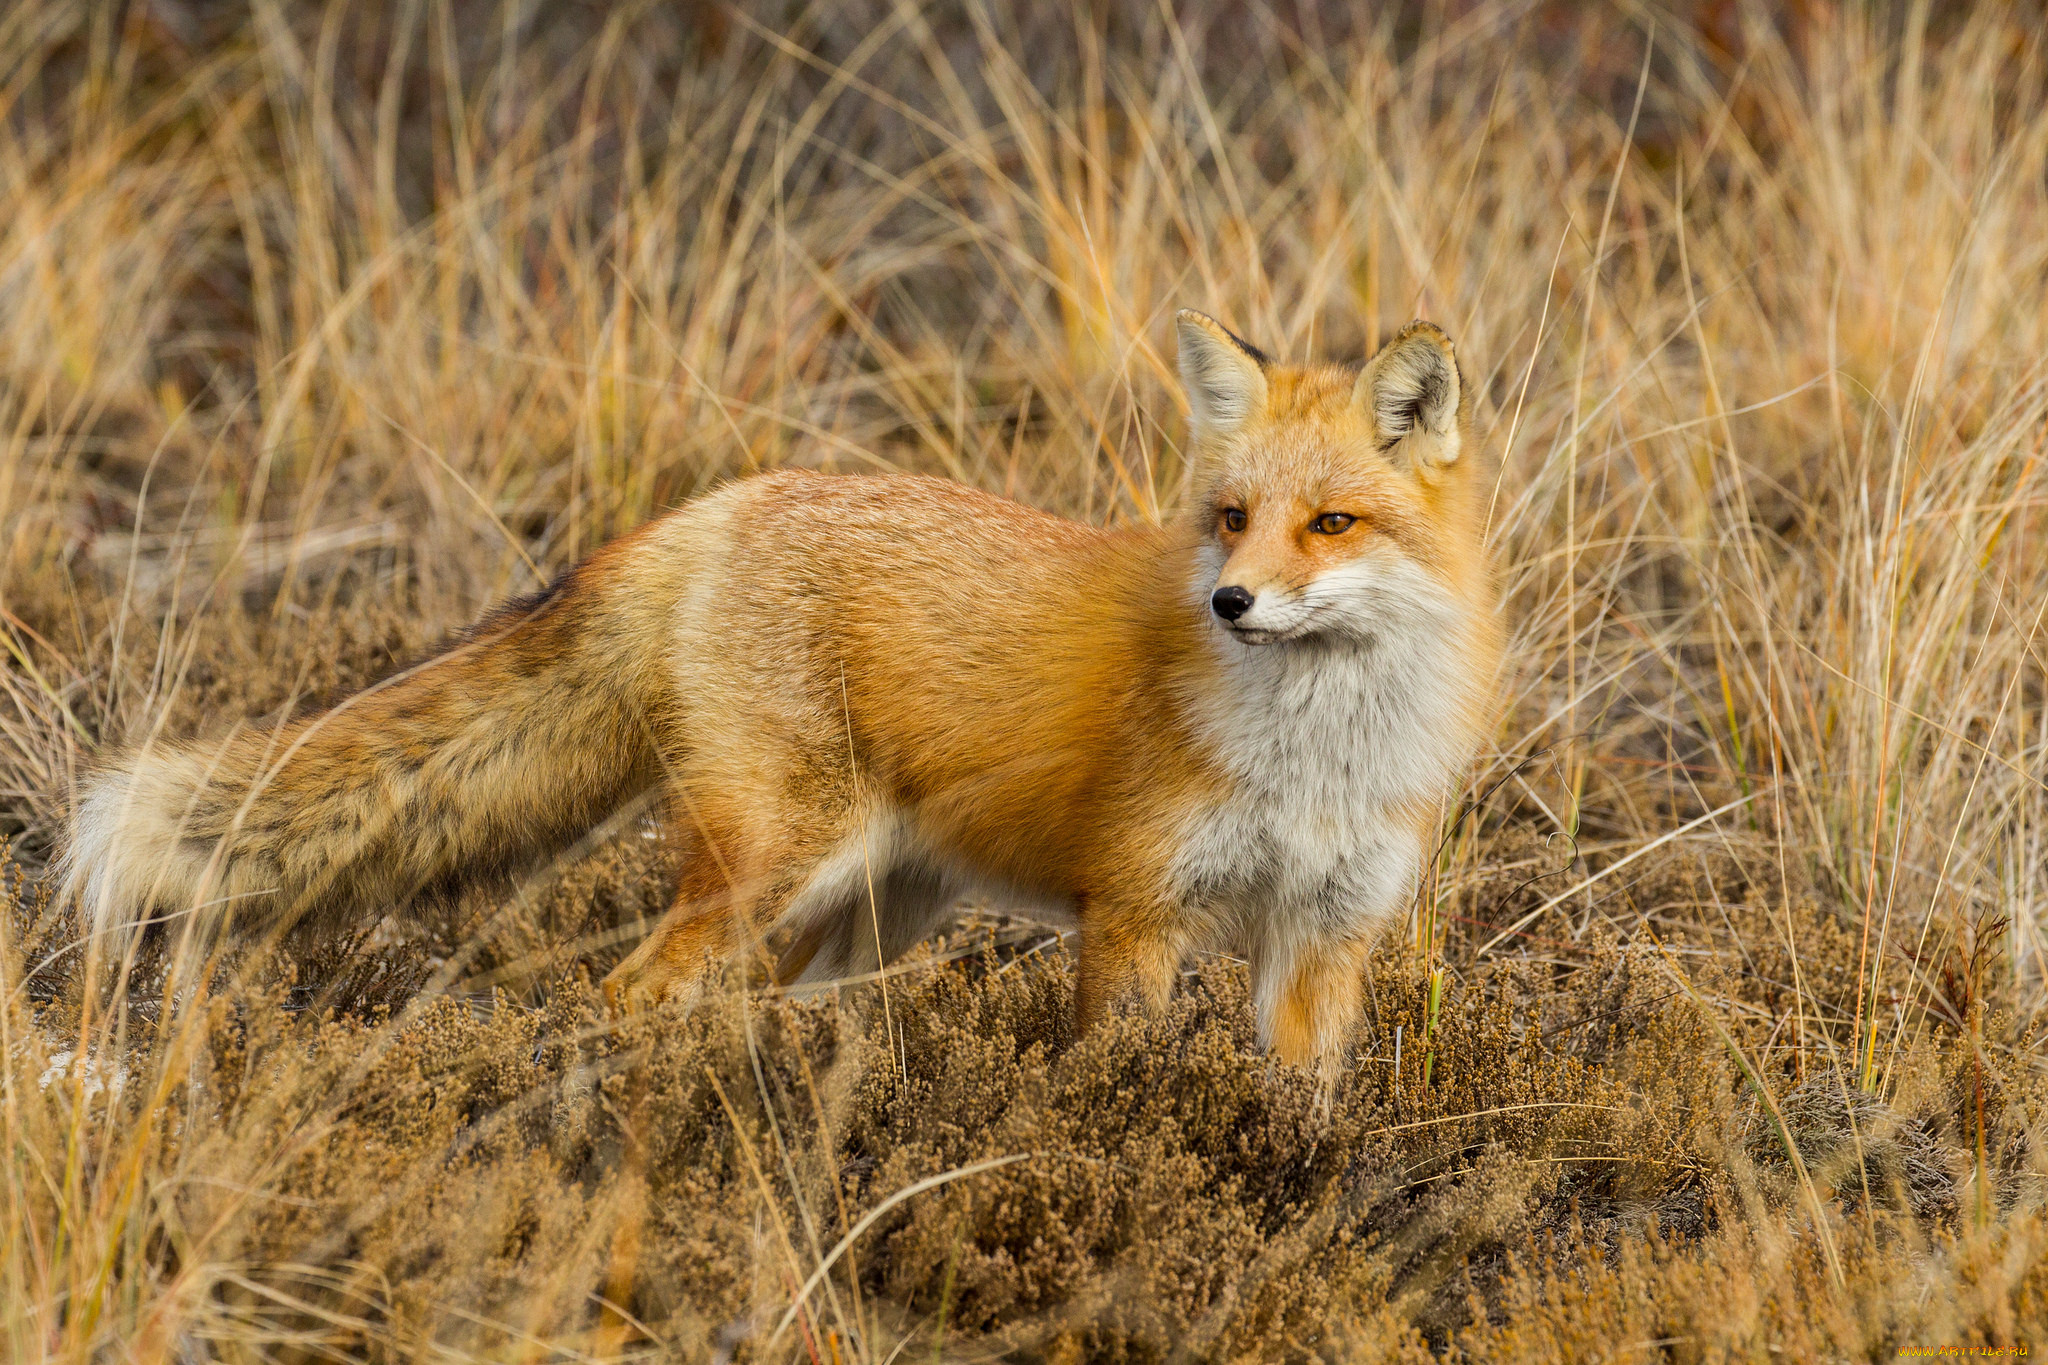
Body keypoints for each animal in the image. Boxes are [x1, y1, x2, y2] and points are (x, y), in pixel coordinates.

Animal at [64, 315, 1499, 1072]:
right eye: (1231, 518)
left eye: (1330, 523)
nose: (1230, 604)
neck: (1317, 761)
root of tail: (725, 500)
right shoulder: (1136, 916)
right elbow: (1114, 1086)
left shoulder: (1321, 943)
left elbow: (1298, 1109)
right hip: (777, 863)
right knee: (629, 993)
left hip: (866, 910)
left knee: (763, 1003)